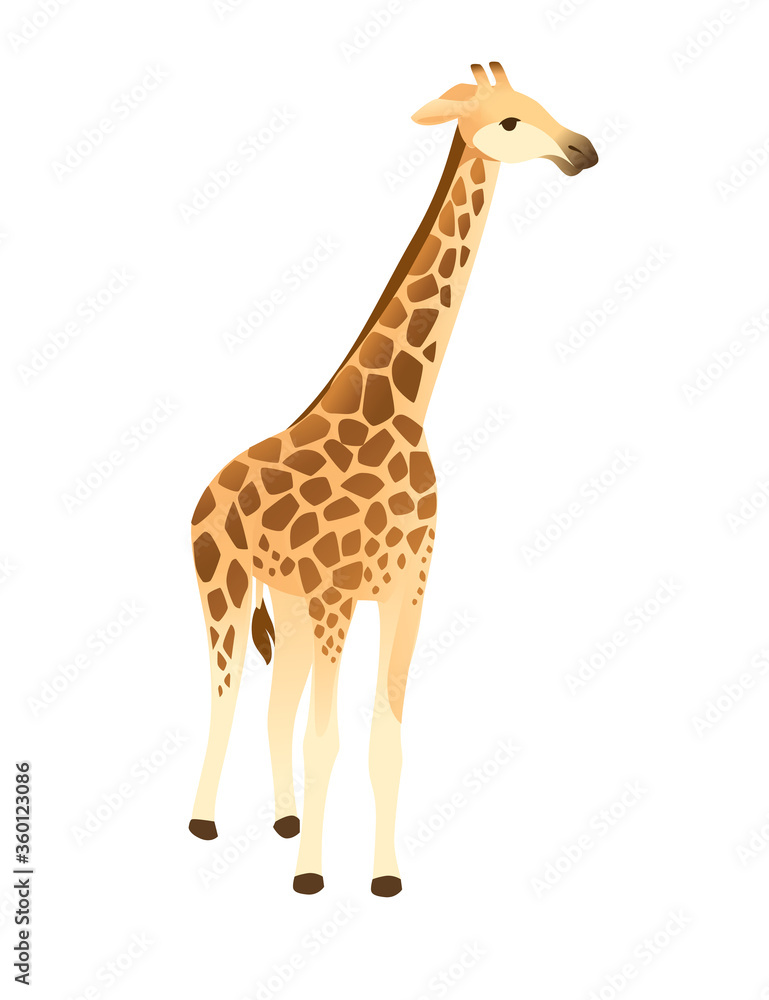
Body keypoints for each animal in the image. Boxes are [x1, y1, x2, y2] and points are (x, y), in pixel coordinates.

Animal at [188, 62, 598, 896]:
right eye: (510, 120)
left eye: (539, 102)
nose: (582, 150)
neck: (401, 410)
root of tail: (204, 491)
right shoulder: (338, 590)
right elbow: (325, 737)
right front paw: (313, 878)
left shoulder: (406, 584)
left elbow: (385, 737)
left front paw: (382, 877)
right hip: (226, 584)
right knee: (224, 692)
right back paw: (205, 823)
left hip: (285, 599)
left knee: (274, 703)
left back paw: (284, 823)